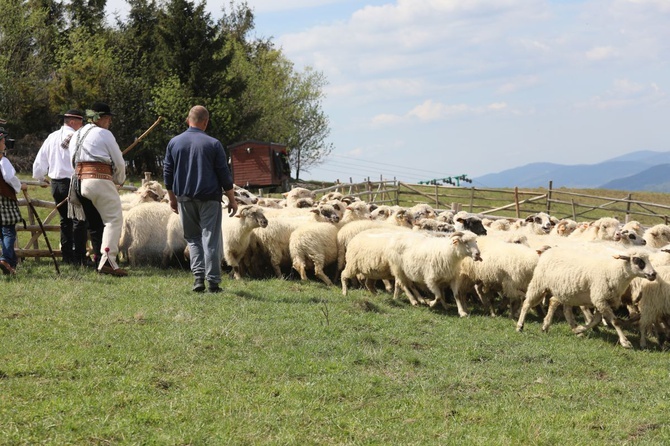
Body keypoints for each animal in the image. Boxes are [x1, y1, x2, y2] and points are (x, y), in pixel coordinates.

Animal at [516, 244, 660, 348]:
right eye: (637, 260)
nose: (653, 274)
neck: (613, 271)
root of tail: (548, 251)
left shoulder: (603, 301)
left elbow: (595, 321)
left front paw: (579, 330)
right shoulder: (600, 299)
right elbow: (615, 321)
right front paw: (625, 342)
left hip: (567, 293)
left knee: (561, 307)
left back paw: (554, 327)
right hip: (538, 284)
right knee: (527, 303)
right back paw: (520, 326)